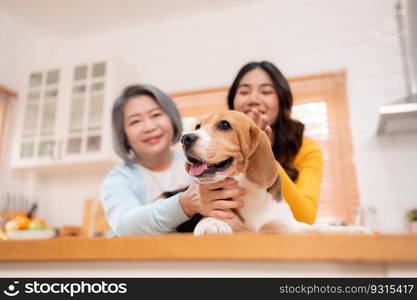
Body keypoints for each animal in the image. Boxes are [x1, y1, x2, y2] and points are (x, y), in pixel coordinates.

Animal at [180, 110, 368, 237]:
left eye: (224, 125)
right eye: (198, 127)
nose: (185, 138)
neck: (248, 191)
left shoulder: (288, 227)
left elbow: (320, 229)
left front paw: (354, 230)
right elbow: (208, 220)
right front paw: (212, 225)